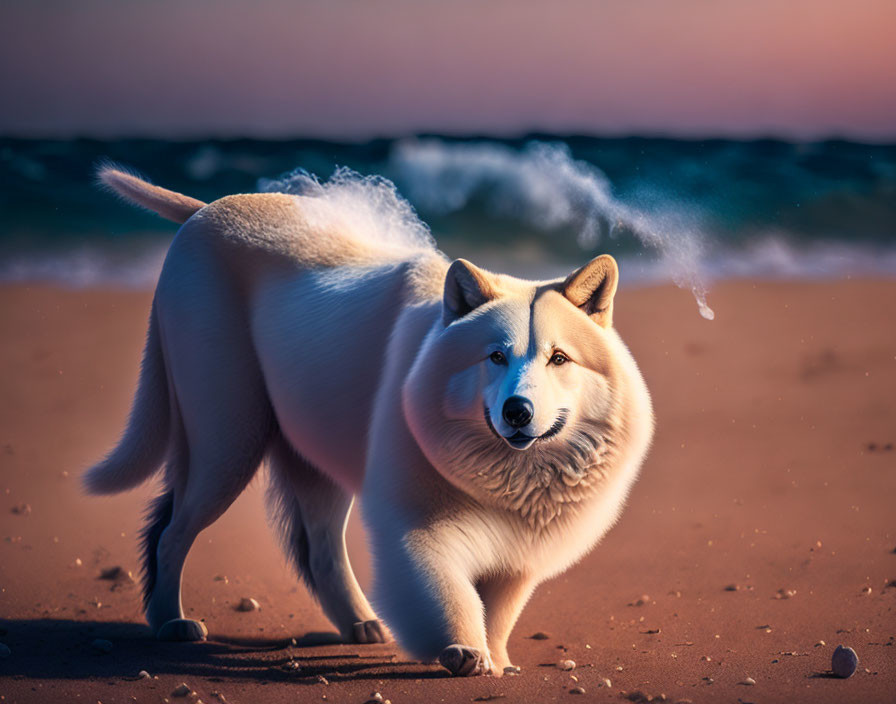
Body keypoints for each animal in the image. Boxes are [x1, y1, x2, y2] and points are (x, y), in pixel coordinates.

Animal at [86, 165, 652, 676]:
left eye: (559, 358)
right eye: (495, 356)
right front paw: (464, 651)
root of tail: (207, 209)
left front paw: (497, 658)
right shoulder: (420, 526)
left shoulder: (520, 555)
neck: (510, 472)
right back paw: (170, 622)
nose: (518, 411)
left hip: (310, 446)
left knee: (319, 548)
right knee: (172, 530)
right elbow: (447, 591)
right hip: (228, 437)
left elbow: (501, 609)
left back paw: (361, 624)